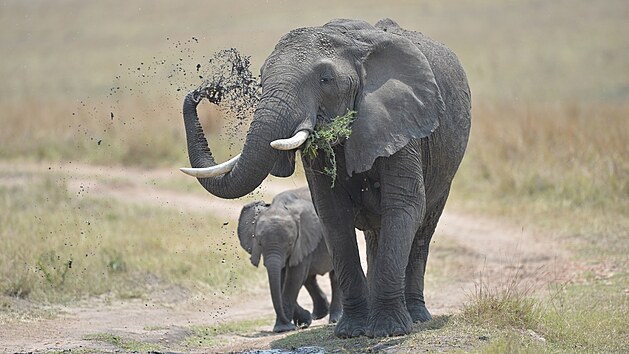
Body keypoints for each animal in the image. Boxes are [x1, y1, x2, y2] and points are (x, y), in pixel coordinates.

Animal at [237, 188, 344, 332]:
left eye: (290, 244)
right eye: (259, 243)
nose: (300, 323)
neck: (279, 208)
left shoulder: (302, 240)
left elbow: (293, 278)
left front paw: (284, 328)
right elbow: (282, 279)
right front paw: (301, 321)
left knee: (333, 275)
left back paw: (334, 319)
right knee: (308, 278)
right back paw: (318, 315)